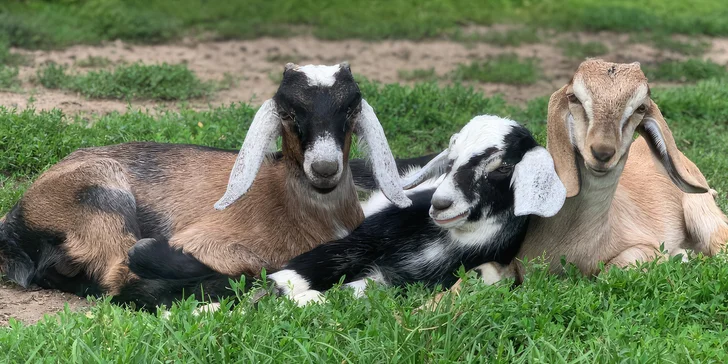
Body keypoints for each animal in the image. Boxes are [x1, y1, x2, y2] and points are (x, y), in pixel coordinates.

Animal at [264, 115, 564, 306]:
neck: (447, 241)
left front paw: (303, 300)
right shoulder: (368, 237)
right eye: (451, 161)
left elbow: (359, 290)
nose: (440, 204)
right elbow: (306, 267)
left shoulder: (409, 282)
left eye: (504, 167)